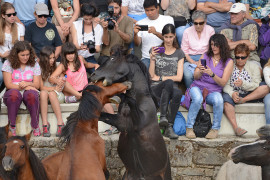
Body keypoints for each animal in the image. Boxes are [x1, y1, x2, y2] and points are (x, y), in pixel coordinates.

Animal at [90, 45, 171, 179]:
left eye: (112, 58)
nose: (92, 75)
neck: (140, 98)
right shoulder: (121, 121)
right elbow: (103, 115)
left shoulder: (129, 124)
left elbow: (127, 101)